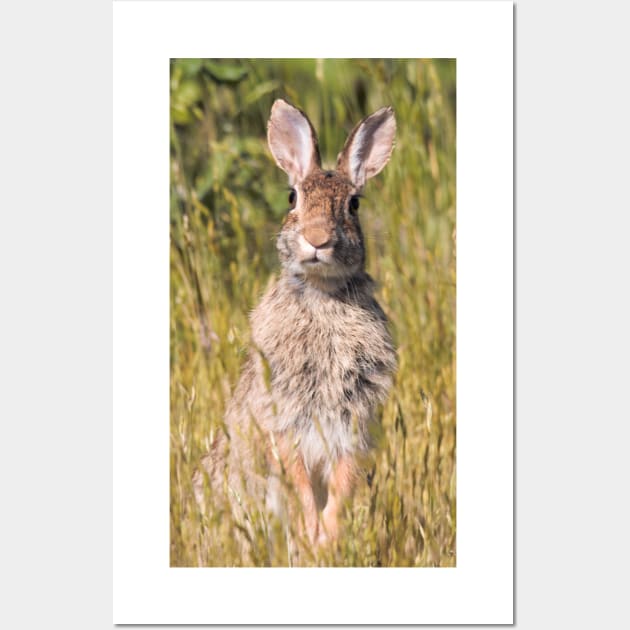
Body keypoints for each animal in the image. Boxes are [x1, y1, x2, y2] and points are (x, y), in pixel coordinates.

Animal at [195, 99, 398, 552]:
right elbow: (297, 478)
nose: (318, 239)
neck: (323, 293)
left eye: (354, 204)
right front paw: (312, 534)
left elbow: (342, 483)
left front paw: (328, 539)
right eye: (293, 197)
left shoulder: (353, 423)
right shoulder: (282, 417)